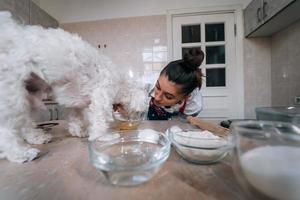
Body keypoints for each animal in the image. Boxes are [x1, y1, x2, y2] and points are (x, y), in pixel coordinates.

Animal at [0, 11, 148, 162]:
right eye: (138, 112)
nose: (133, 122)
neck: (120, 83)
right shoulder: (101, 94)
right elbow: (100, 119)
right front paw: (103, 136)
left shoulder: (73, 102)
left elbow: (75, 118)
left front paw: (79, 131)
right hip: (12, 94)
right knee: (6, 130)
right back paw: (19, 153)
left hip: (29, 97)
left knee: (26, 123)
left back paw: (37, 138)